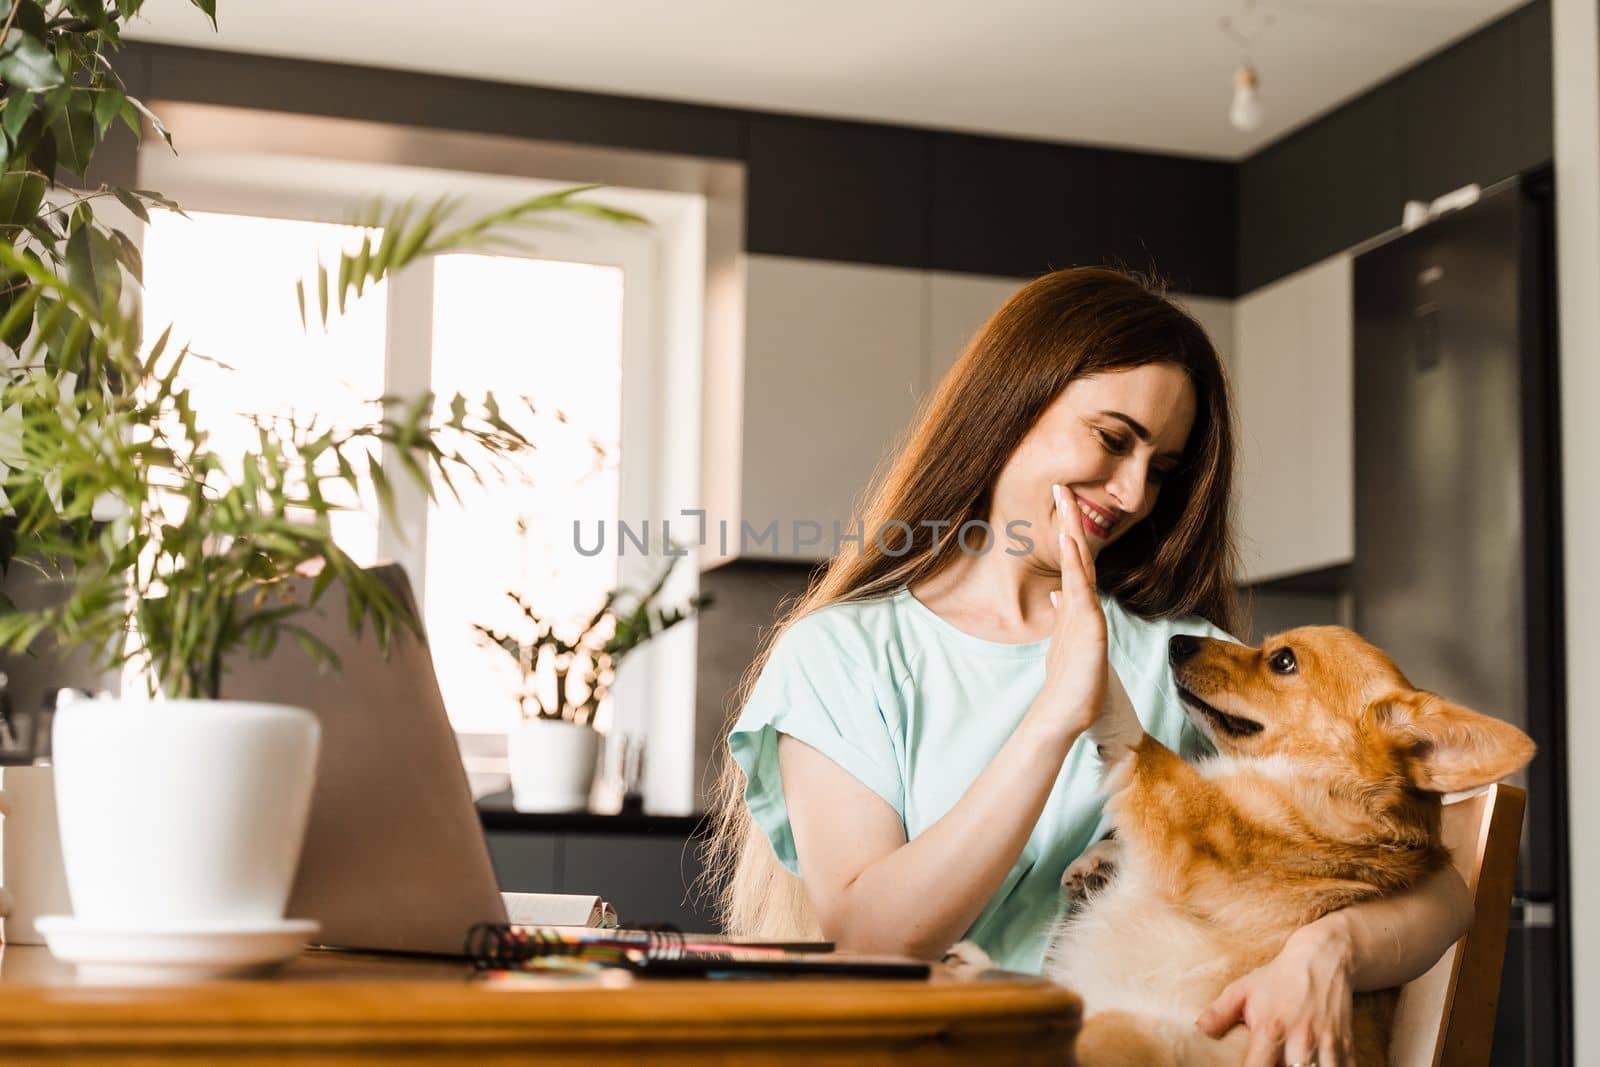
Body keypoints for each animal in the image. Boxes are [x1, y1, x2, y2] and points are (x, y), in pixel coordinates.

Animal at [1049, 627, 1536, 1067]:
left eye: (1283, 661)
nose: (1177, 642)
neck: (1319, 782)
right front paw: (1096, 862)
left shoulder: (1208, 830)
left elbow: (1145, 751)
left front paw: (1094, 672)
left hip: (1120, 1029)